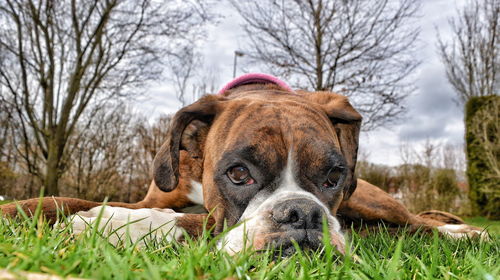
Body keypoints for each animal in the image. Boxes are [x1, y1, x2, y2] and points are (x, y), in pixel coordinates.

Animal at [0, 73, 484, 255]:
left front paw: (111, 224)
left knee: (417, 223)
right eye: (238, 174)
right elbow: (59, 198)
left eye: (333, 176)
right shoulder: (155, 196)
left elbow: (184, 222)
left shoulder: (209, 220)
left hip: (372, 201)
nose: (301, 214)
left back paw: (467, 233)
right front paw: (18, 210)